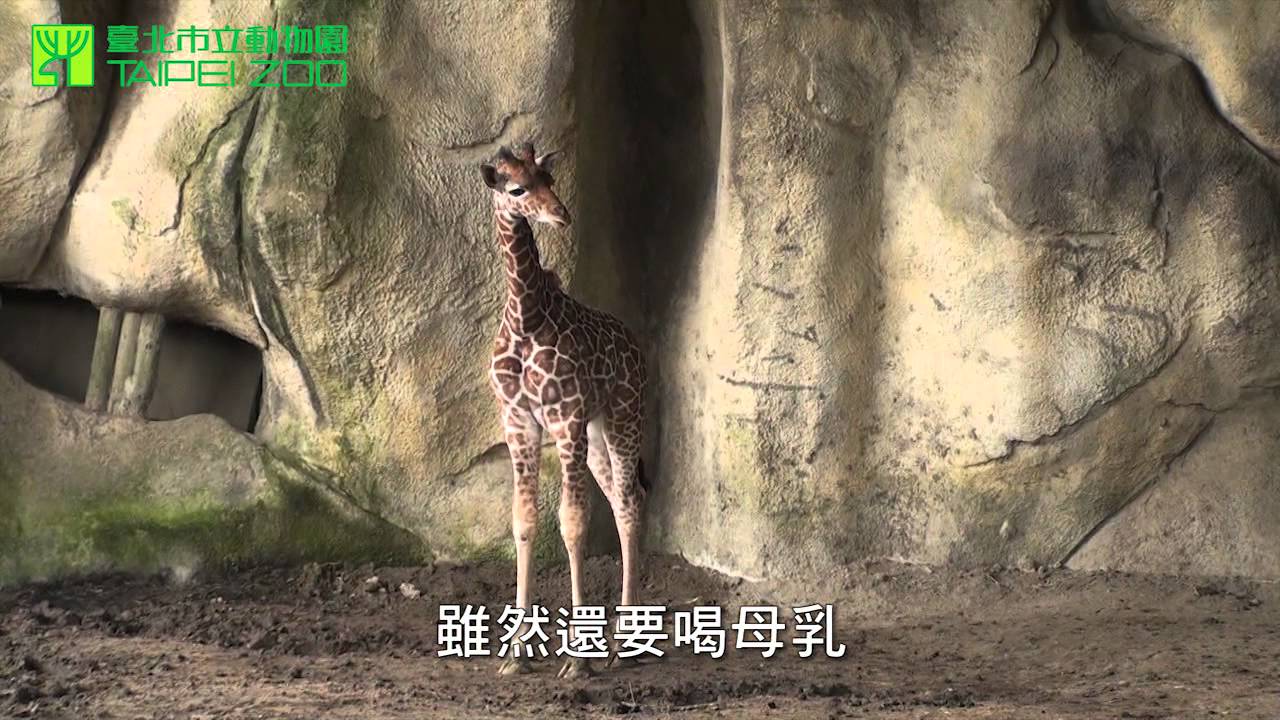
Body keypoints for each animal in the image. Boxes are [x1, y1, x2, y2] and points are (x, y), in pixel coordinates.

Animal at [480, 143, 649, 678]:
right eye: (516, 189)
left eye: (549, 178)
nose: (561, 215)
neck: (526, 317)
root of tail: (637, 347)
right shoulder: (519, 423)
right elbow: (524, 522)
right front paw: (515, 653)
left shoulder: (565, 417)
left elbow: (572, 525)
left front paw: (577, 660)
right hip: (595, 436)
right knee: (622, 501)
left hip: (622, 416)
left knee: (629, 503)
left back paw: (622, 644)